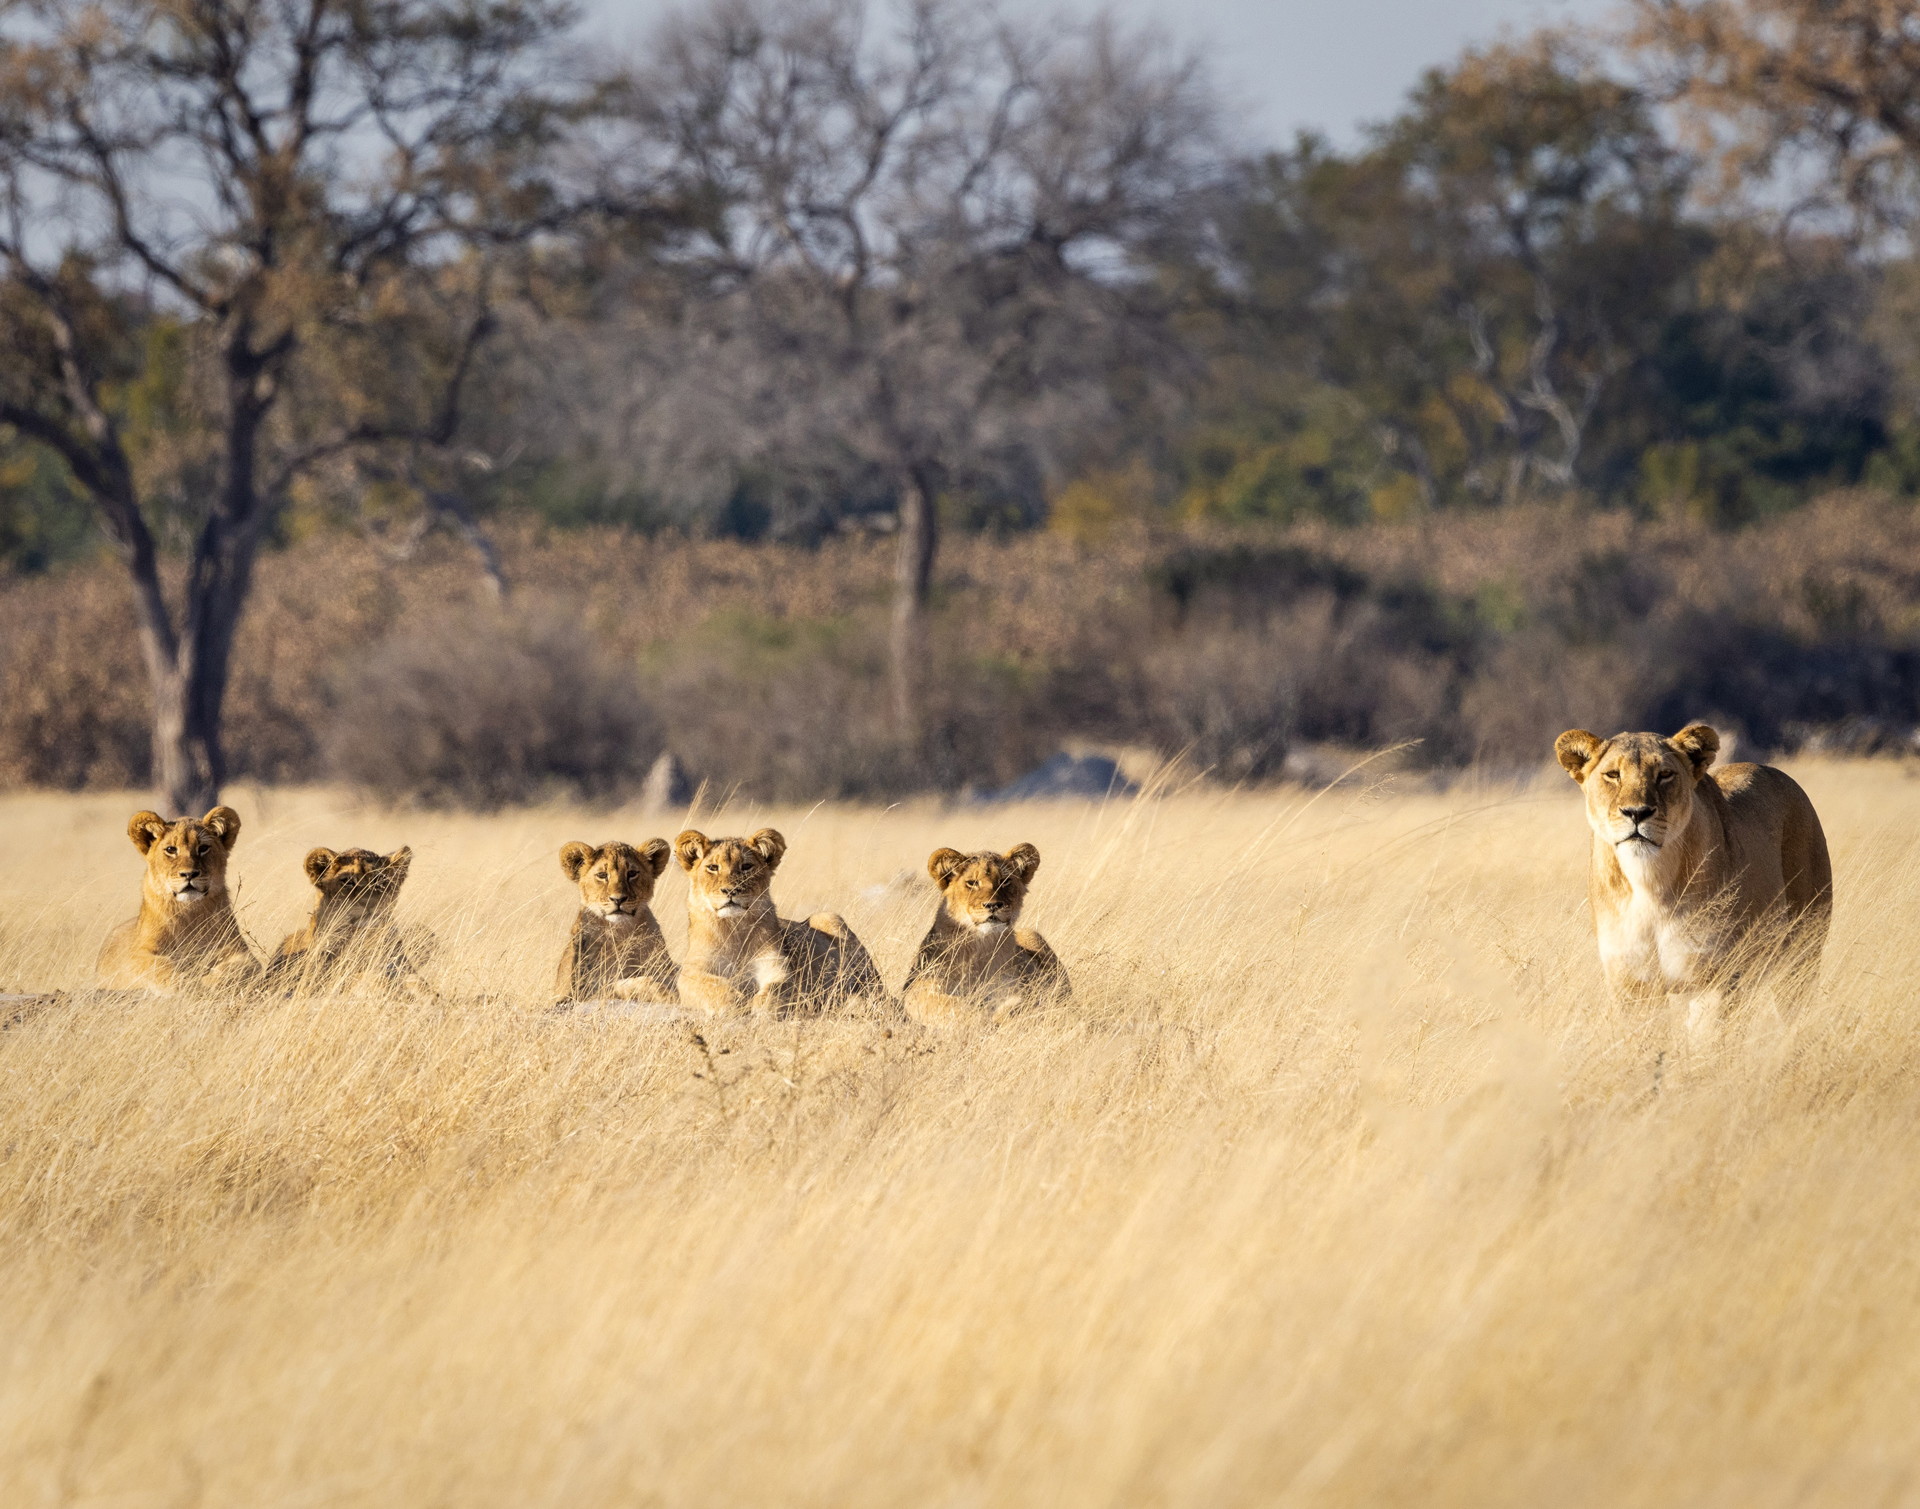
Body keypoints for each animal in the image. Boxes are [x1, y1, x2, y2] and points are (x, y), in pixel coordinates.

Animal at [97, 807, 262, 994]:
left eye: (203, 848)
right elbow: (159, 966)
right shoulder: (136, 956)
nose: (189, 874)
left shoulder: (241, 952)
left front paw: (209, 982)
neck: (189, 912)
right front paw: (186, 984)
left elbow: (237, 968)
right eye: (171, 849)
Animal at [553, 839, 677, 1005]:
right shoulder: (575, 993)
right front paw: (666, 993)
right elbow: (618, 985)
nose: (618, 899)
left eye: (632, 873)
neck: (620, 932)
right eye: (602, 875)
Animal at [674, 828, 886, 1016]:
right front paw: (735, 1001)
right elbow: (712, 985)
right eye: (713, 867)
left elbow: (775, 989)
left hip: (831, 920)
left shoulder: (778, 969)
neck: (735, 928)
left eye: (746, 866)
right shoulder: (691, 972)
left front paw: (762, 1008)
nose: (731, 891)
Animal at [901, 843, 1070, 1024]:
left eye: (1005, 881)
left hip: (1031, 935)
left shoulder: (1011, 987)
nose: (993, 905)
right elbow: (946, 1004)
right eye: (972, 883)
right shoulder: (919, 987)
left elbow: (1023, 1001)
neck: (980, 946)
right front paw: (981, 1017)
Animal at [1555, 723, 1831, 1028]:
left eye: (1664, 774)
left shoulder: (1714, 980)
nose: (1637, 813)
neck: (1648, 882)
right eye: (1613, 775)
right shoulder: (1631, 987)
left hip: (1802, 952)